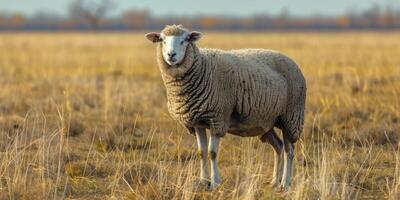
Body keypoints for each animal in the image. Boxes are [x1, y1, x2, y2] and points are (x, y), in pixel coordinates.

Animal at [146, 25, 306, 191]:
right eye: (162, 40)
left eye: (185, 40)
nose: (171, 55)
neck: (202, 68)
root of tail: (292, 61)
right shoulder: (197, 121)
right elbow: (201, 152)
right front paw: (203, 181)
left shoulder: (218, 118)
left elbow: (212, 153)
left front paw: (215, 182)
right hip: (267, 121)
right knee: (278, 147)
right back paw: (275, 181)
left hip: (291, 116)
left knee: (289, 151)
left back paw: (285, 183)